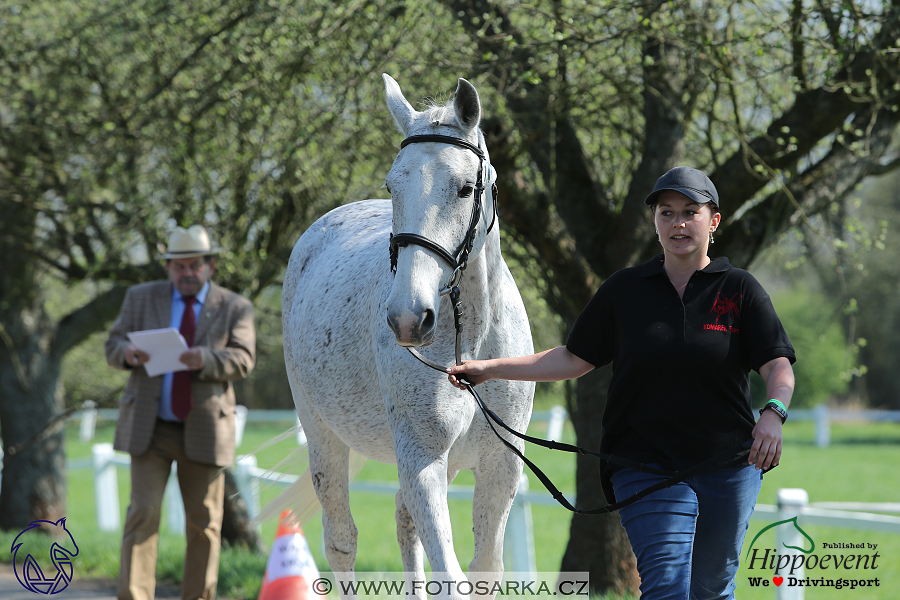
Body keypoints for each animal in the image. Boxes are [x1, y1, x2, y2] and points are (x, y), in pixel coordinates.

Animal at [282, 75, 536, 600]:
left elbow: (483, 570)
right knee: (341, 541)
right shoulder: (423, 459)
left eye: (464, 188)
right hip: (323, 436)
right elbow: (450, 574)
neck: (471, 339)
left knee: (404, 524)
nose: (407, 318)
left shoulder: (499, 467)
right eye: (392, 185)